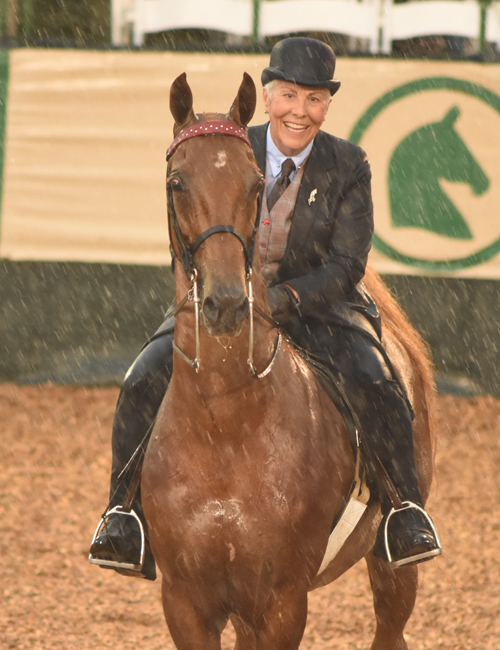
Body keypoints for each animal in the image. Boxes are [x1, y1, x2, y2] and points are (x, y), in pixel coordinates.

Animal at [140, 72, 434, 648]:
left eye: (257, 184)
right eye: (177, 182)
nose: (227, 302)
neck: (224, 421)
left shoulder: (281, 603)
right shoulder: (185, 603)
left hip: (392, 567)